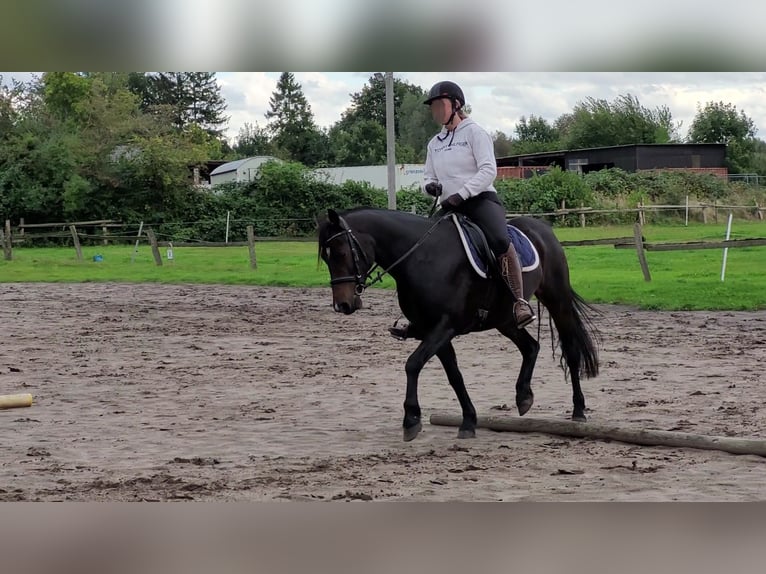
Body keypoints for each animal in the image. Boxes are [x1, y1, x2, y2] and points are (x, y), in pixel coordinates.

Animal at [318, 209, 600, 444]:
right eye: (326, 257)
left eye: (341, 253)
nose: (342, 305)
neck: (422, 257)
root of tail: (542, 228)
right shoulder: (435, 331)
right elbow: (454, 376)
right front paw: (468, 421)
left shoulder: (444, 327)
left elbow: (413, 364)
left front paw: (411, 420)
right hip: (504, 319)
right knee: (531, 347)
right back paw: (523, 397)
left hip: (556, 300)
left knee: (571, 351)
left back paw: (578, 410)